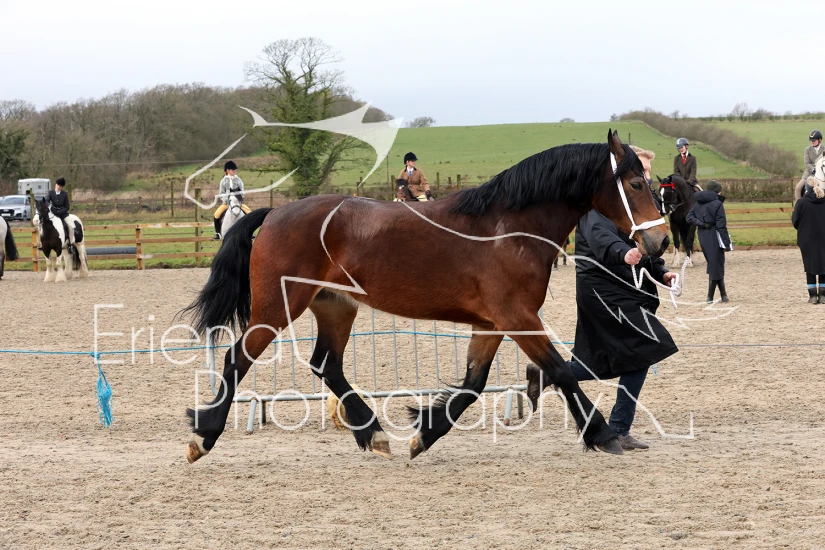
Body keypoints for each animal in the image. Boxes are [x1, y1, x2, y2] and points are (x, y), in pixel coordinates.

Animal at [182, 130, 669, 464]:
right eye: (635, 184)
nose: (661, 241)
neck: (508, 228)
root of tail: (275, 213)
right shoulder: (518, 317)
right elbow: (562, 371)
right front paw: (602, 434)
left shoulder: (492, 322)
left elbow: (473, 385)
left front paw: (425, 432)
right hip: (279, 307)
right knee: (237, 359)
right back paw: (203, 437)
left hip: (336, 307)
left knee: (327, 364)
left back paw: (372, 433)